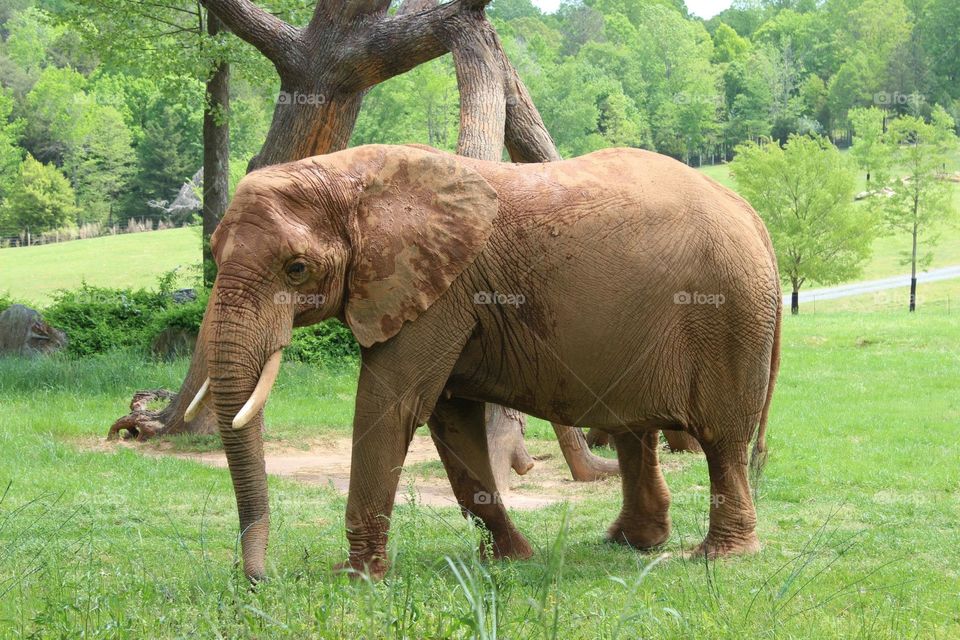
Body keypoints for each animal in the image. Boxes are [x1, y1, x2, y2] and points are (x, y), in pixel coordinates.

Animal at [187, 143, 781, 581]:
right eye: (211, 253)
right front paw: (514, 559)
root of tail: (752, 214)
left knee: (723, 440)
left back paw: (717, 556)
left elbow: (391, 405)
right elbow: (450, 419)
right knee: (635, 430)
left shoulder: (438, 289)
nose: (258, 579)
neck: (349, 174)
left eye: (296, 269)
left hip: (728, 313)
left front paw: (356, 579)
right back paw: (630, 543)